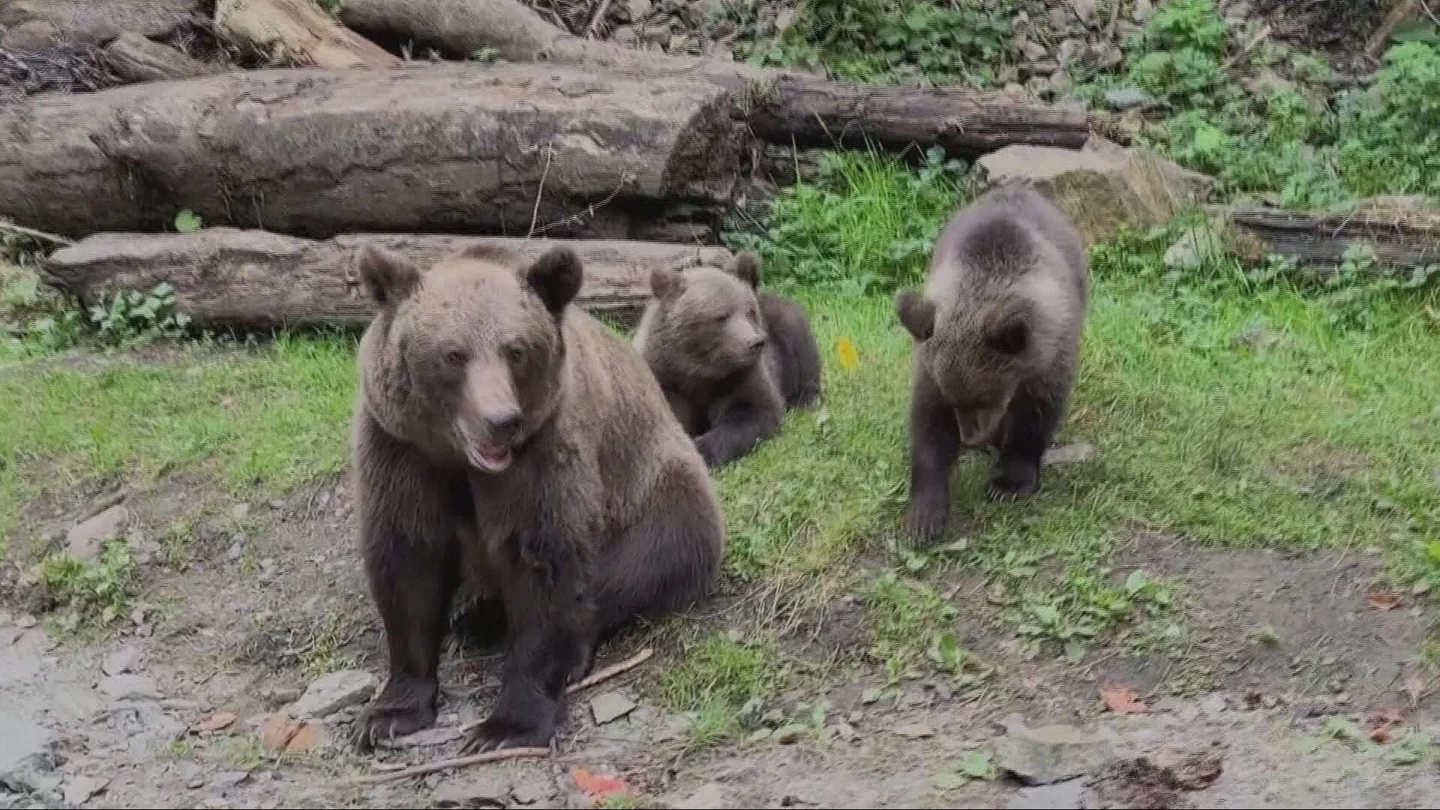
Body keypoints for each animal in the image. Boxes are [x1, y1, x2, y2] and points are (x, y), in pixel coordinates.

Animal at [349, 241, 725, 753]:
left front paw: (506, 725)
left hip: (658, 492)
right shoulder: (400, 451)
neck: (458, 458)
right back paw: (474, 621)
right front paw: (391, 712)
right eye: (453, 354)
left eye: (516, 350)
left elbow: (545, 564)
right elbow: (407, 562)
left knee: (646, 562)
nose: (500, 419)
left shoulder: (544, 451)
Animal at [633, 251, 822, 469]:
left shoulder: (740, 376)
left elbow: (753, 412)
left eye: (749, 311)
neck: (698, 367)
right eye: (721, 316)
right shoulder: (666, 378)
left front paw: (703, 449)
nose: (755, 342)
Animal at [894, 183, 1090, 546]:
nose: (971, 437)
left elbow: (1034, 420)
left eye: (985, 395)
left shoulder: (1048, 363)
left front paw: (1009, 483)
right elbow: (928, 429)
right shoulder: (931, 368)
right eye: (954, 399)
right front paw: (923, 516)